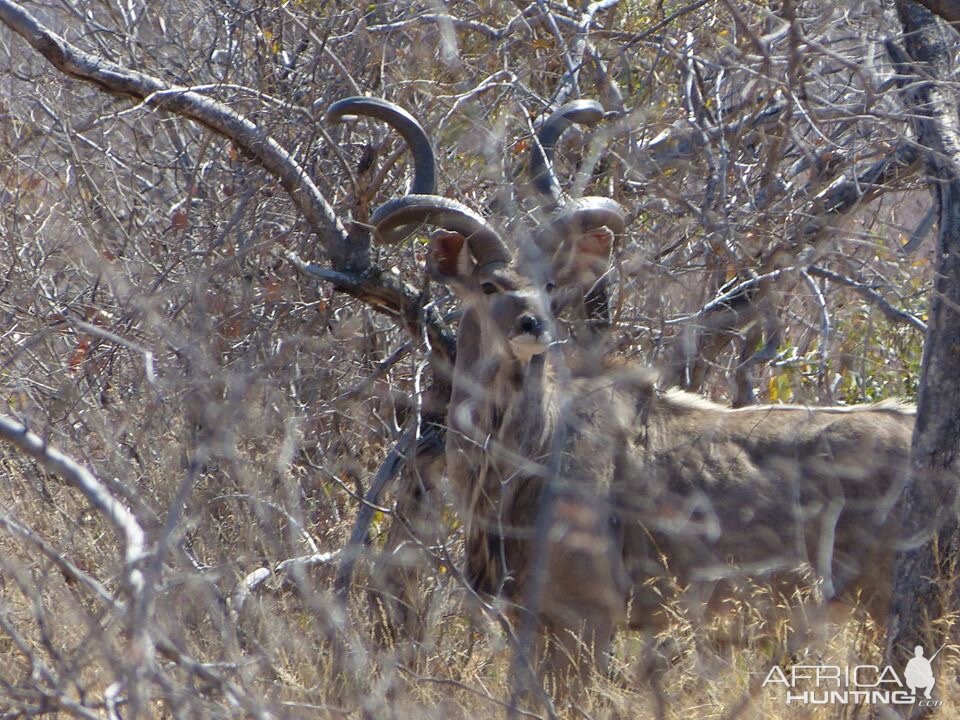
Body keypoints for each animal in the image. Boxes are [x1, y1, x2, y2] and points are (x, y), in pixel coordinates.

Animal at [330, 95, 916, 688]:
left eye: (549, 284)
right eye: (490, 285)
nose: (534, 325)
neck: (531, 452)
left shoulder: (588, 619)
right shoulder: (536, 621)